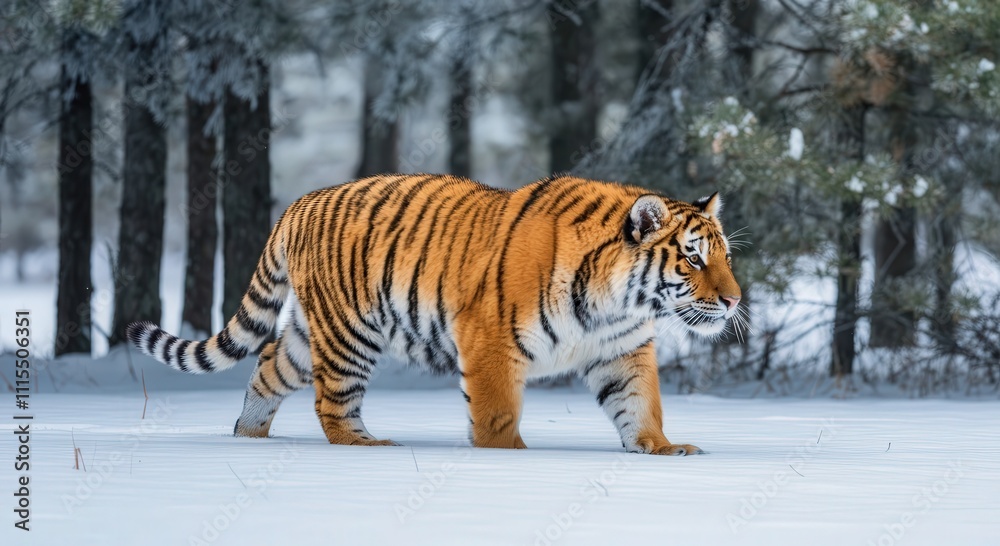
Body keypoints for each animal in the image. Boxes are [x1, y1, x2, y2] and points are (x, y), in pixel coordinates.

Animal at [127, 174, 741, 455]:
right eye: (693, 258)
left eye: (726, 257)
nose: (735, 299)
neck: (618, 302)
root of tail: (298, 203)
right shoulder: (492, 341)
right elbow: (496, 414)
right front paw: (510, 457)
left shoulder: (623, 350)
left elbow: (641, 405)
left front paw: (663, 449)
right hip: (349, 332)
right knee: (333, 402)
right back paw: (366, 445)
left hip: (308, 335)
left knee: (268, 366)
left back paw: (248, 436)